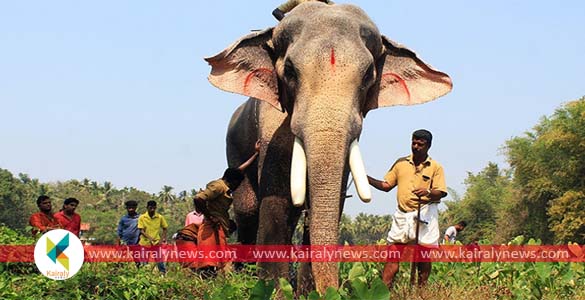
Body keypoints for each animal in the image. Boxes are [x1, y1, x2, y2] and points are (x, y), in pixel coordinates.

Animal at [205, 1, 452, 292]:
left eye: (368, 75)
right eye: (290, 71)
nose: (335, 289)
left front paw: (307, 293)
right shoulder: (270, 126)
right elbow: (276, 197)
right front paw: (273, 291)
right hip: (234, 145)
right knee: (247, 210)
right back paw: (242, 278)